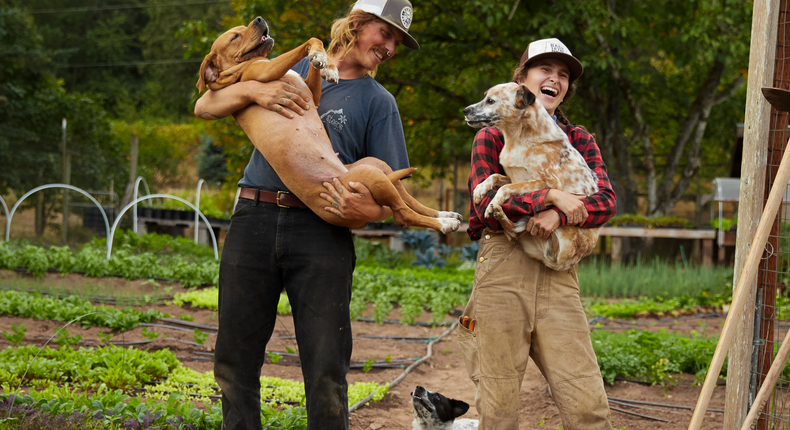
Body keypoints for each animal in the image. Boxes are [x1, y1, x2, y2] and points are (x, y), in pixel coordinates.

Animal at [197, 16, 464, 233]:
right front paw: (322, 59)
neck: (235, 73)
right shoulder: (264, 73)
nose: (260, 19)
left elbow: (314, 51)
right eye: (234, 37)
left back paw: (445, 214)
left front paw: (326, 64)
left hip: (378, 167)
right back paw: (443, 223)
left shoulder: (311, 93)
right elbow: (308, 41)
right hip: (371, 176)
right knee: (402, 214)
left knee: (407, 198)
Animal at [464, 83, 600, 272]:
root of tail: (560, 263)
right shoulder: (515, 176)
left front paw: (493, 201)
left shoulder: (549, 183)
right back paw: (499, 214)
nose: (464, 110)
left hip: (560, 228)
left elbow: (505, 188)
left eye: (490, 101)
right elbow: (495, 175)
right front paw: (480, 189)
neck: (518, 138)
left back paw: (496, 210)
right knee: (513, 232)